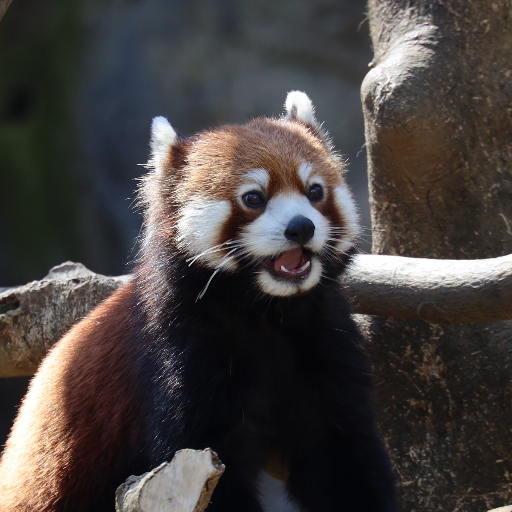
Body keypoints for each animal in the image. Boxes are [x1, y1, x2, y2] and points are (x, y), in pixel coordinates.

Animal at [0, 93, 396, 512]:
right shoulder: (180, 349)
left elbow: (341, 451)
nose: (301, 227)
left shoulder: (323, 335)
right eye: (254, 198)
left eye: (315, 191)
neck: (266, 312)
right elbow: (208, 460)